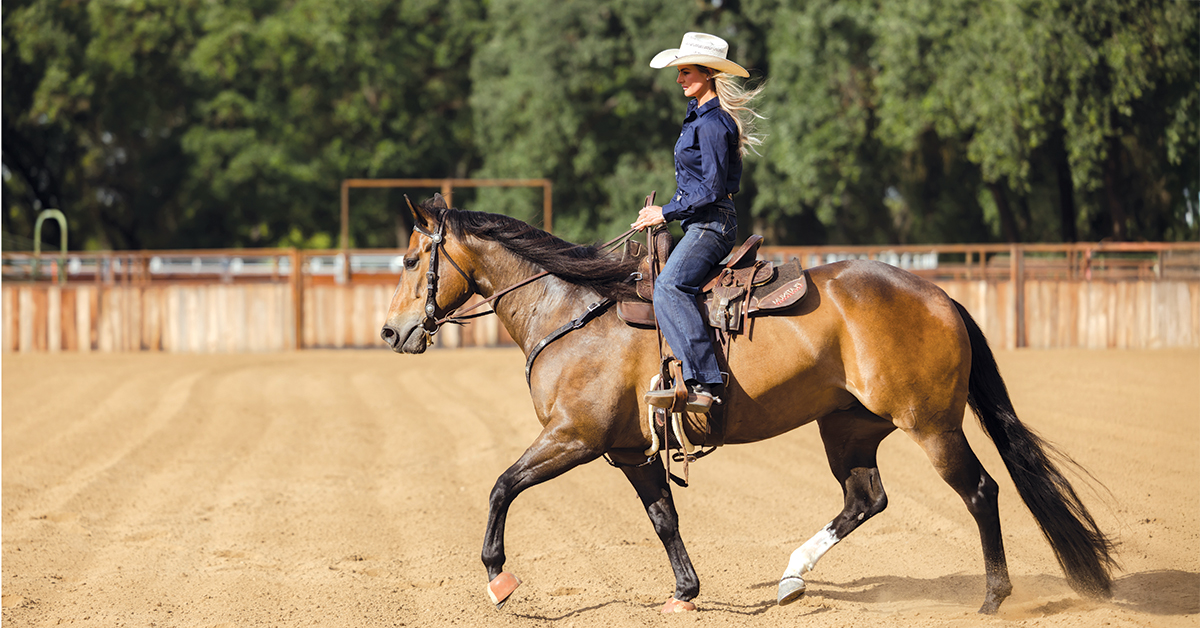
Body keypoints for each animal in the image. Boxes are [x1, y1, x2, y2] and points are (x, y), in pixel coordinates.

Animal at [379, 195, 1116, 615]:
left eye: (414, 259)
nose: (391, 332)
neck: (572, 315)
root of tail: (939, 295)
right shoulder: (630, 450)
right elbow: (663, 518)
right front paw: (685, 593)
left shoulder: (573, 438)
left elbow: (502, 486)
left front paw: (498, 579)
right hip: (847, 427)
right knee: (865, 498)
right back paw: (792, 578)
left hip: (931, 423)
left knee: (981, 492)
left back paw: (992, 597)